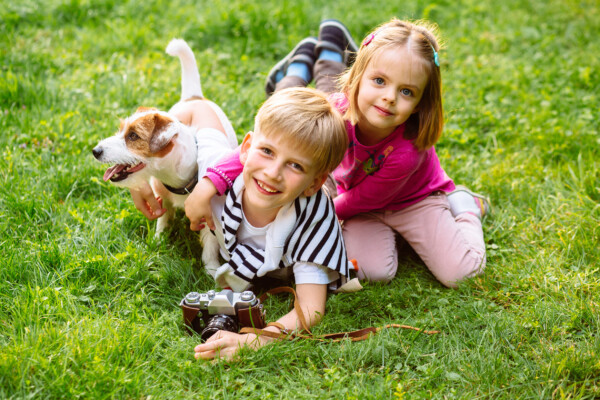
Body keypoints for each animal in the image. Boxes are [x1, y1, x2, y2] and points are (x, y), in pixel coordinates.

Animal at [91, 38, 237, 276]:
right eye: (121, 130)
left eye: (133, 136)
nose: (95, 151)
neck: (177, 179)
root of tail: (194, 97)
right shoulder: (161, 198)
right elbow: (163, 220)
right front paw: (158, 242)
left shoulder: (207, 217)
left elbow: (209, 244)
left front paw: (211, 269)